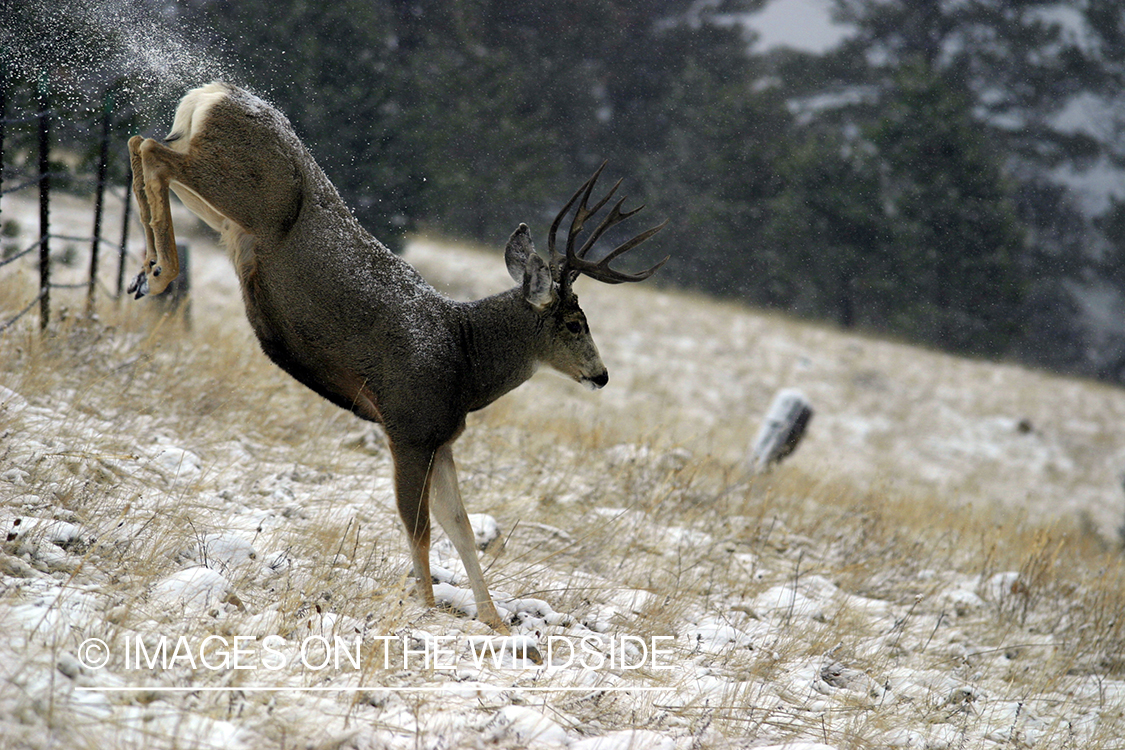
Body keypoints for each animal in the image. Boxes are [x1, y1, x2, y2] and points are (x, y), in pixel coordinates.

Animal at [126, 82, 667, 633]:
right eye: (576, 324)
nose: (602, 375)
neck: (465, 362)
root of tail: (218, 92)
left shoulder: (441, 438)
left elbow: (461, 526)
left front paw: (492, 618)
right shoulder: (409, 426)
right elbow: (419, 525)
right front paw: (424, 605)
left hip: (228, 214)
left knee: (141, 143)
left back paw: (147, 267)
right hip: (250, 194)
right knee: (153, 151)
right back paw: (161, 272)